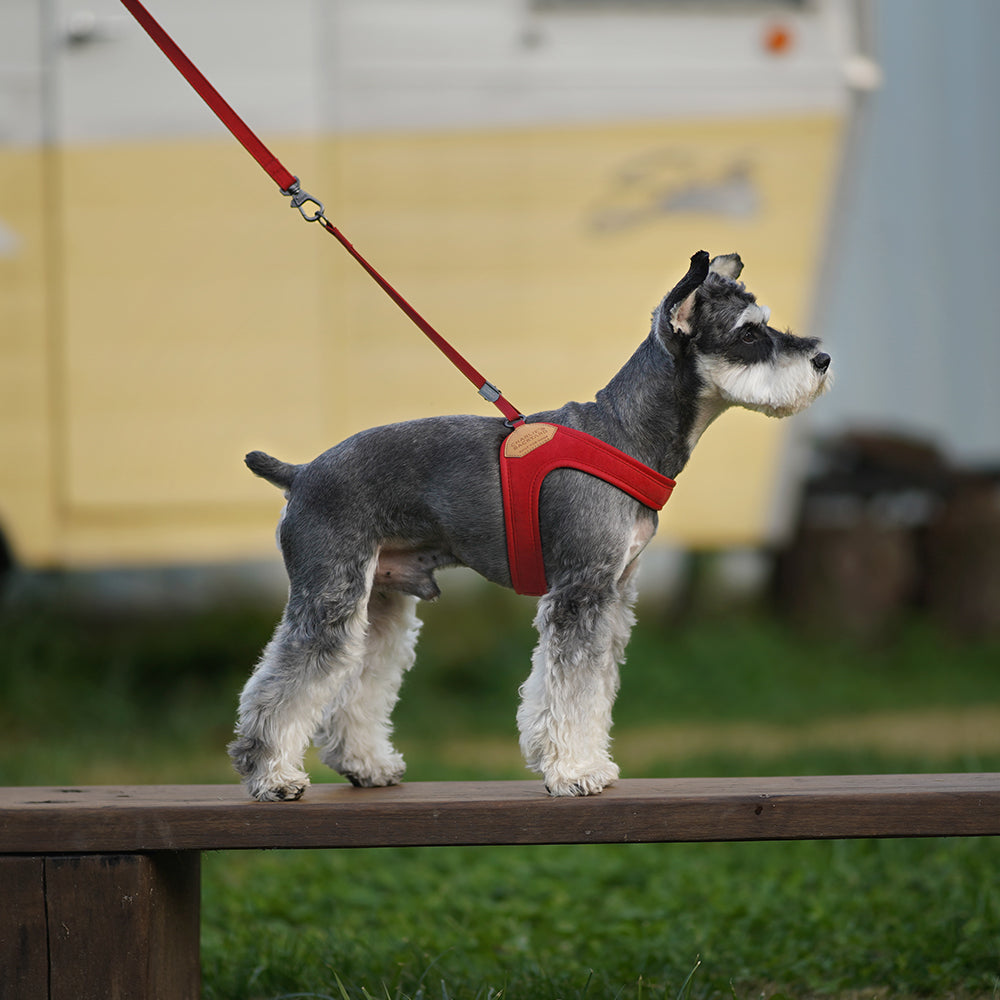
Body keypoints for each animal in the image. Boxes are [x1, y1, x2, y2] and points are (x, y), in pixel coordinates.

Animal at [230, 252, 832, 804]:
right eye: (748, 332)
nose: (823, 358)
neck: (627, 434)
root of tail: (301, 473)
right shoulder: (579, 594)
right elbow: (571, 689)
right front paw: (573, 772)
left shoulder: (614, 597)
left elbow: (590, 690)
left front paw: (587, 761)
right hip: (330, 598)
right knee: (279, 687)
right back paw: (272, 775)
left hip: (379, 605)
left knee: (356, 684)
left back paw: (366, 765)